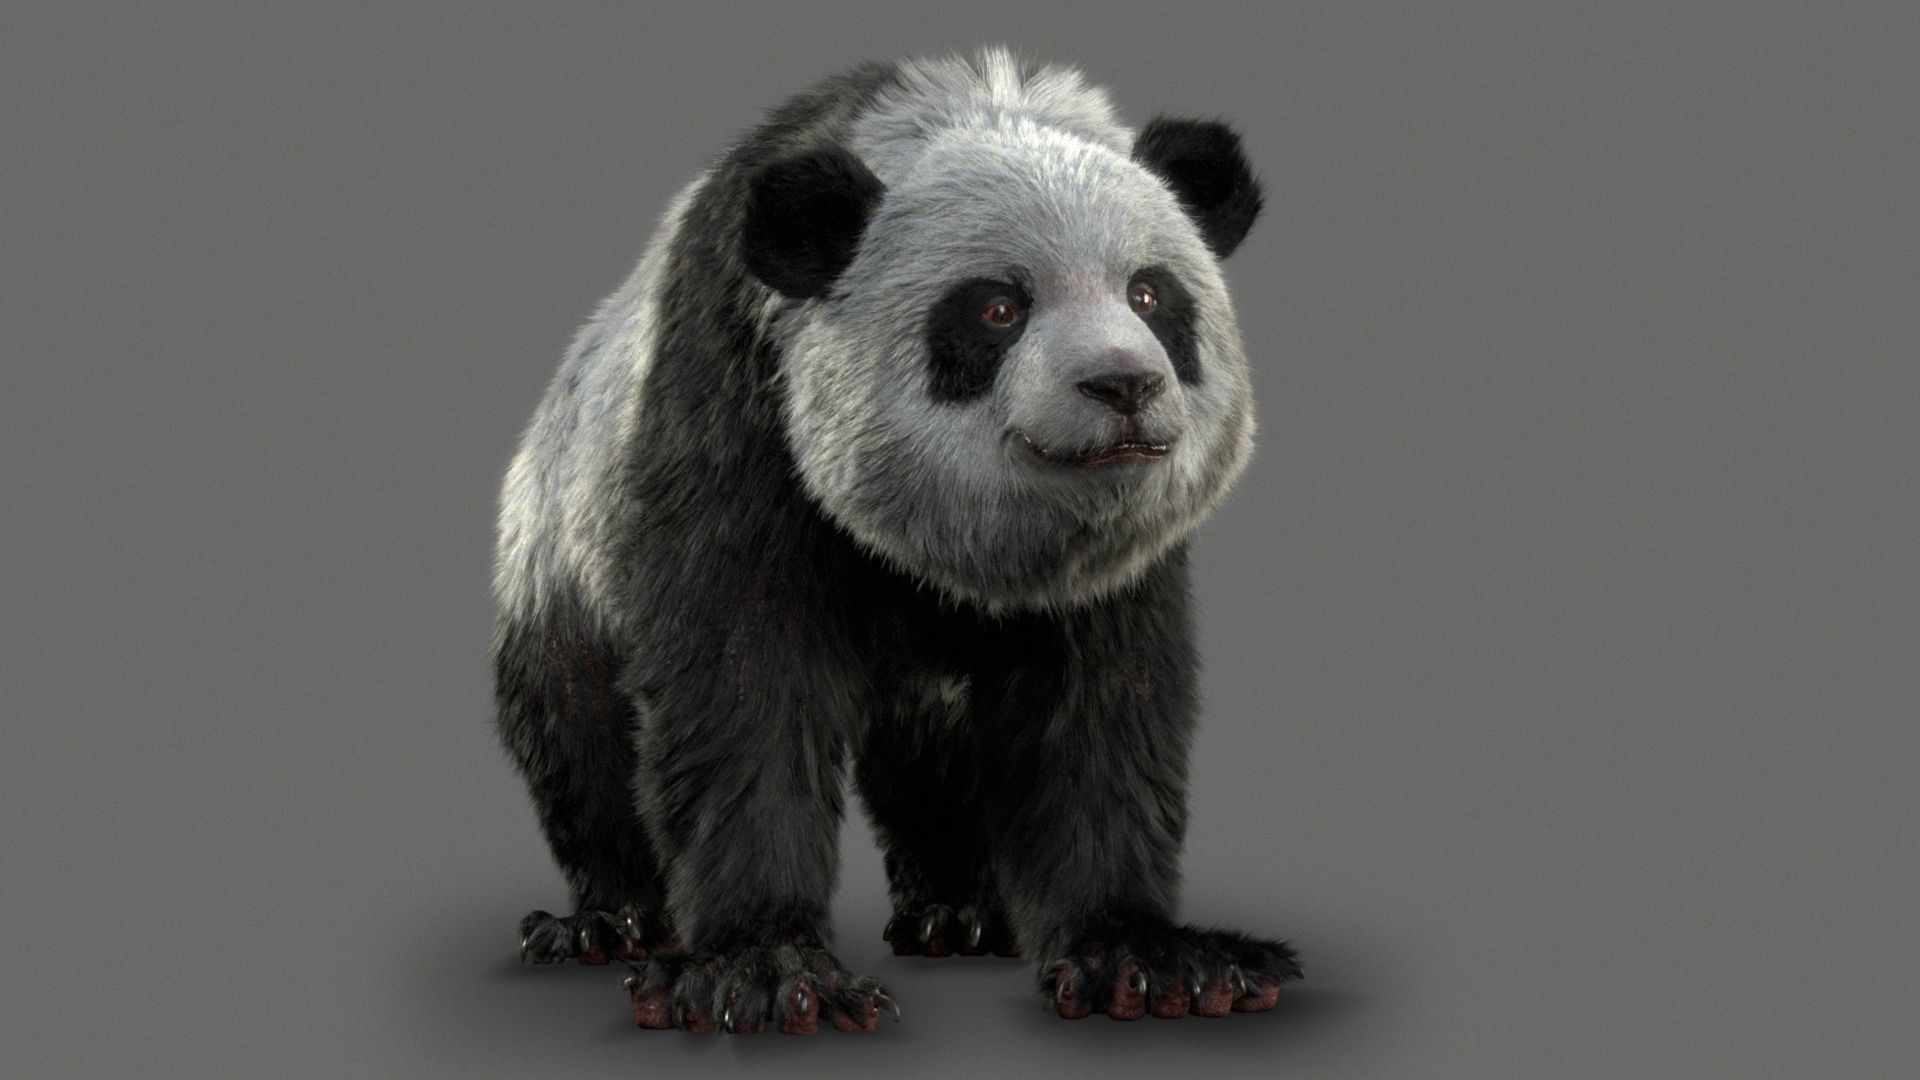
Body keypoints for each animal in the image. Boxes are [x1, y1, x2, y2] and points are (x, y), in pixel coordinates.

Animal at [492, 47, 1301, 1034]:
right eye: (996, 310)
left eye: (1151, 294)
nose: (1123, 385)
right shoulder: (735, 402)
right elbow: (740, 678)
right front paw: (760, 969)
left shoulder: (1115, 566)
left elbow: (1102, 704)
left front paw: (1149, 959)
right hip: (559, 540)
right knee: (575, 732)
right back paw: (609, 921)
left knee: (936, 758)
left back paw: (960, 913)